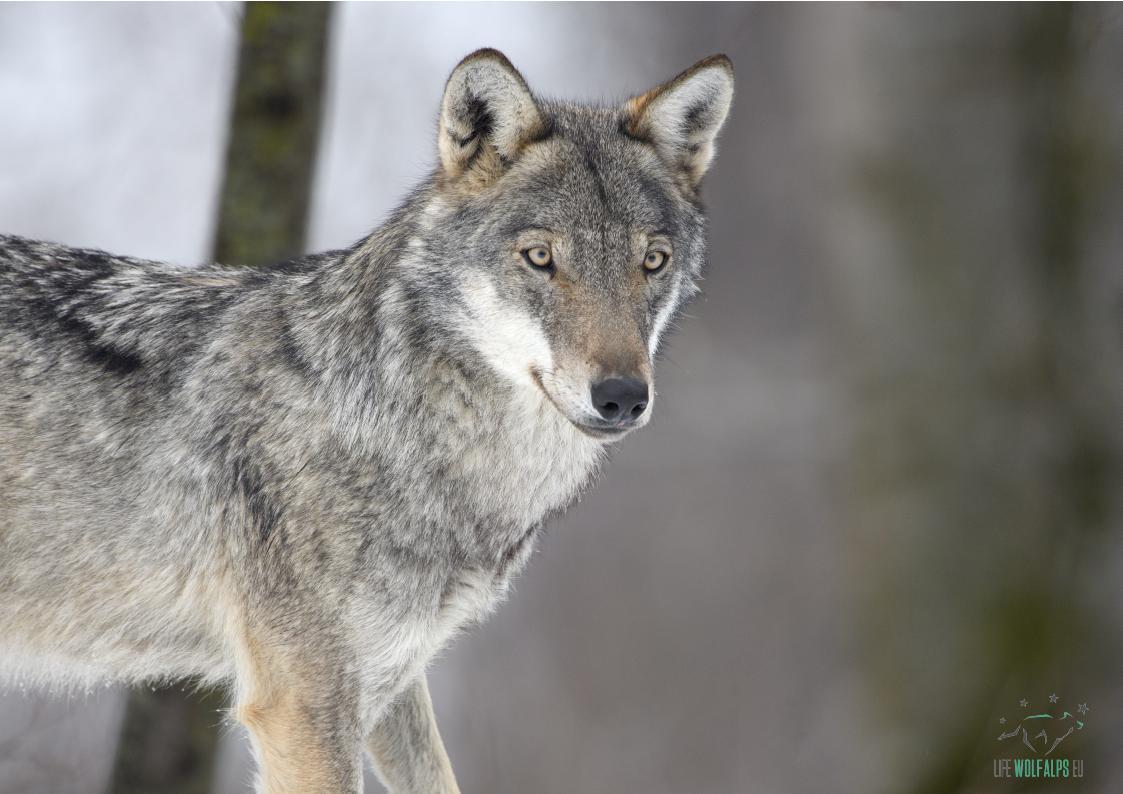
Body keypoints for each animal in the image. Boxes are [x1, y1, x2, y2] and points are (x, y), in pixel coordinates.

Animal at [0, 51, 732, 794]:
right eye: (540, 258)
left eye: (651, 262)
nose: (621, 396)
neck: (395, 427)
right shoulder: (302, 700)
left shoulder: (392, 679)